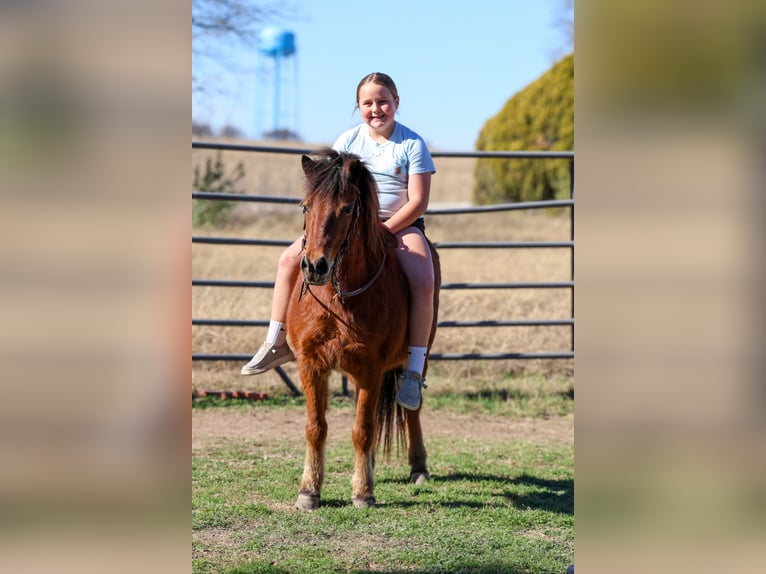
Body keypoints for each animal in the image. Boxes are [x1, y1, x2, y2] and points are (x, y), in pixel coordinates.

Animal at [285, 148, 441, 510]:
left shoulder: (371, 369)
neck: (338, 298)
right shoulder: (311, 364)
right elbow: (316, 426)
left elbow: (363, 429)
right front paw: (309, 491)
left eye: (346, 208)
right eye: (306, 207)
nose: (315, 266)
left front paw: (363, 492)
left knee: (410, 410)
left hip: (419, 355)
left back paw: (418, 467)